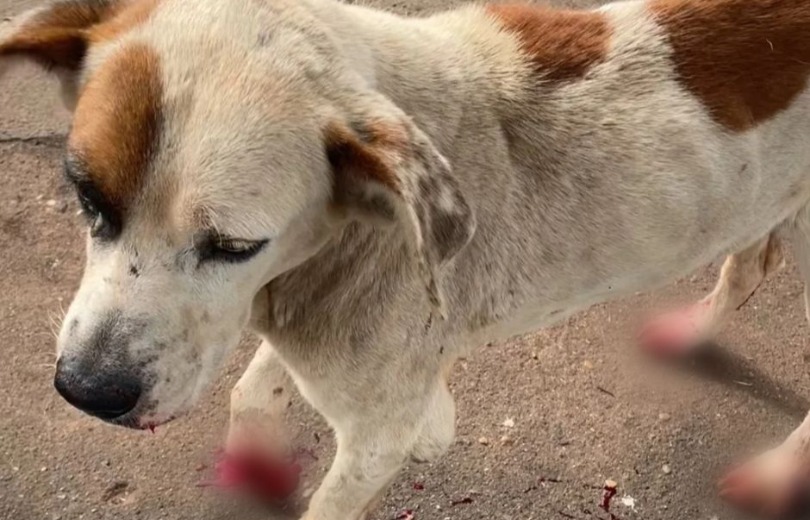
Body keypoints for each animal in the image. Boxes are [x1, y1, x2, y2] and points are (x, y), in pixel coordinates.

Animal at [1, 0, 808, 516]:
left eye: (233, 246)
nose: (87, 392)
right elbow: (253, 392)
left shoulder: (382, 431)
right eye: (86, 196)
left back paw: (776, 474)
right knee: (752, 264)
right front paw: (257, 463)